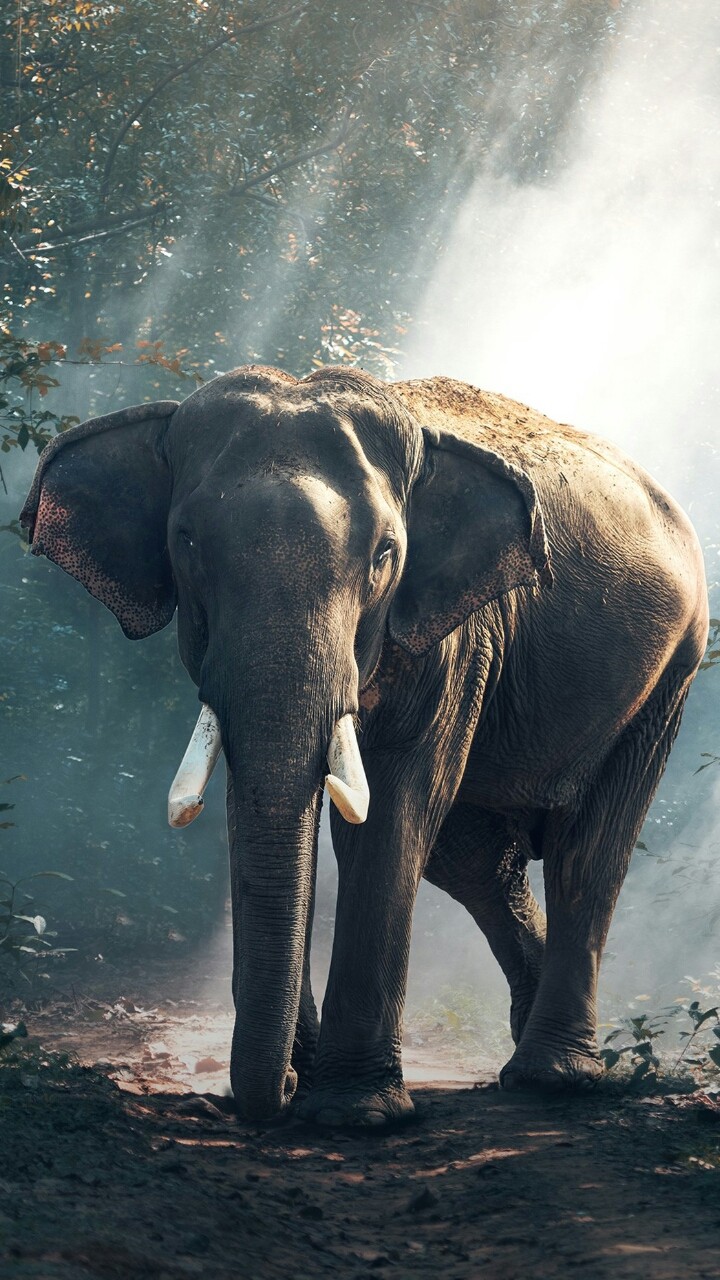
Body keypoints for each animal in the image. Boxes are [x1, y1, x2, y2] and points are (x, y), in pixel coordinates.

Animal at [21, 365, 708, 1127]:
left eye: (384, 554)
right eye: (187, 543)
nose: (280, 1091)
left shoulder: (455, 637)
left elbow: (393, 810)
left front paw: (355, 1113)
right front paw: (311, 1077)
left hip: (671, 672)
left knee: (588, 853)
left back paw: (551, 1078)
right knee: (476, 860)